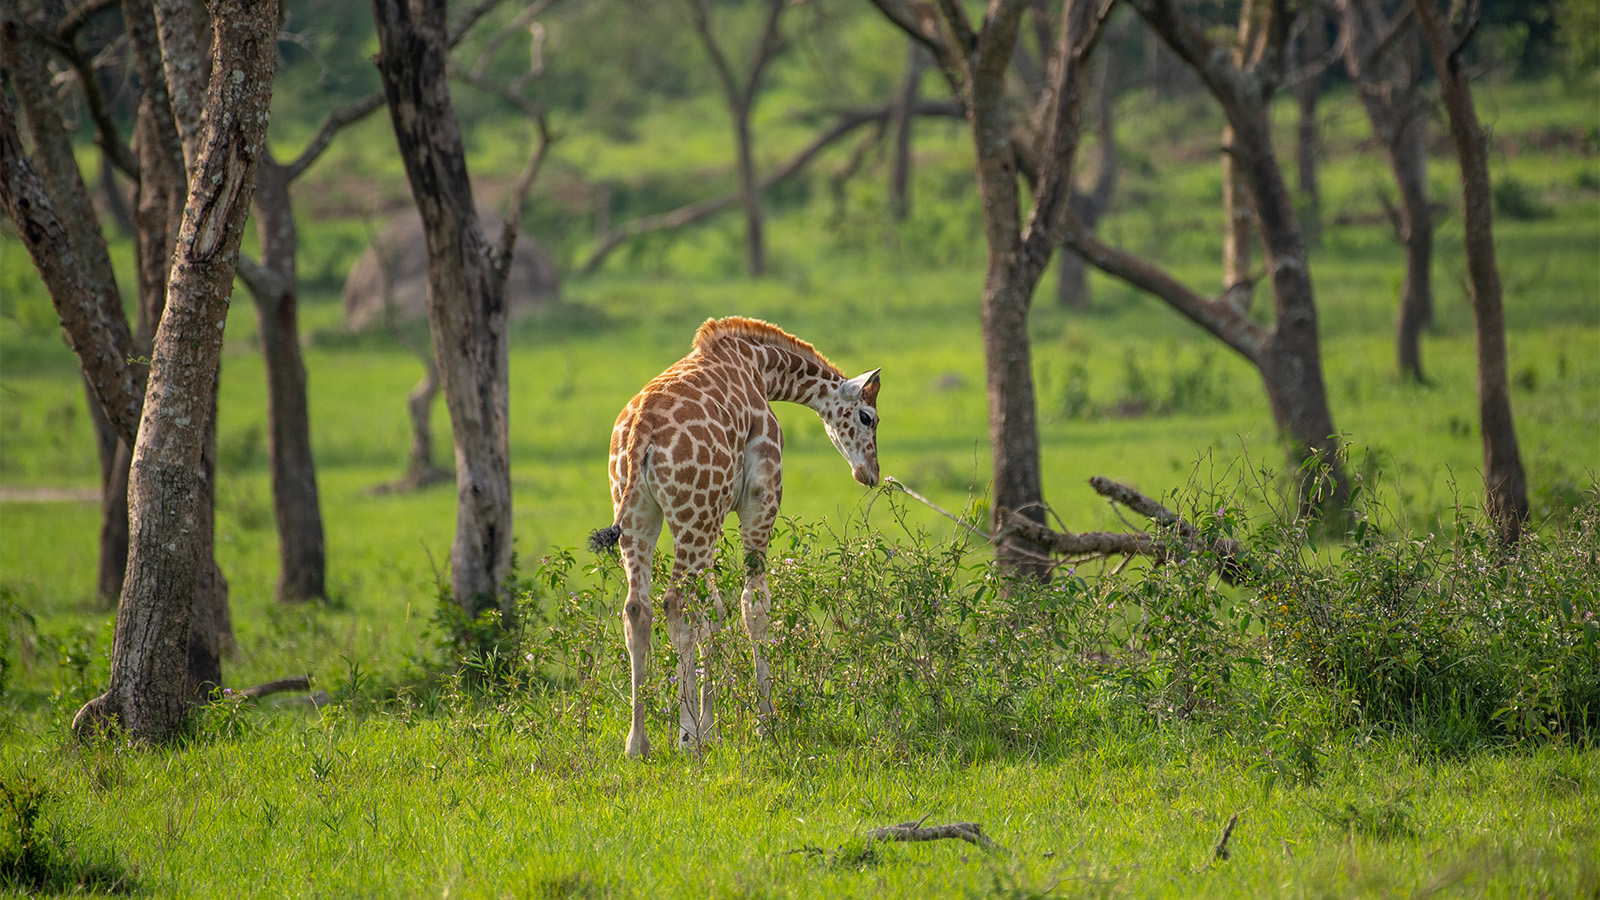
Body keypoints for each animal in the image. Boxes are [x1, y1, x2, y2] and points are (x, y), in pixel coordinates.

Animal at [592, 315, 883, 755]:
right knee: (676, 603)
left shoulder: (715, 512)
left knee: (638, 608)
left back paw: (638, 744)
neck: (761, 367)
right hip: (694, 511)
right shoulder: (760, 497)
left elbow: (715, 610)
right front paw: (763, 723)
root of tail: (639, 434)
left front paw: (711, 728)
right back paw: (685, 739)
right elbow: (753, 605)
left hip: (642, 511)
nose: (871, 473)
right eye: (868, 417)